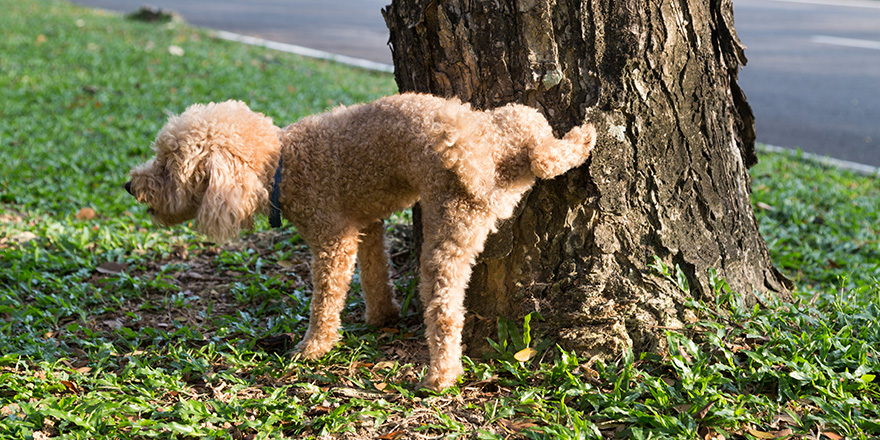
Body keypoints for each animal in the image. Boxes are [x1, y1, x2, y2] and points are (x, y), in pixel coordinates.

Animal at [125, 92, 600, 388]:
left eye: (167, 166)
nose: (131, 186)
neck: (282, 163)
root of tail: (476, 151)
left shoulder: (333, 241)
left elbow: (326, 299)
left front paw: (313, 347)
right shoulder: (367, 225)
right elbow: (375, 275)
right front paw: (381, 317)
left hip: (448, 231)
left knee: (445, 312)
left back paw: (441, 377)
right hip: (518, 120)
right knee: (547, 150)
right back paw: (583, 138)